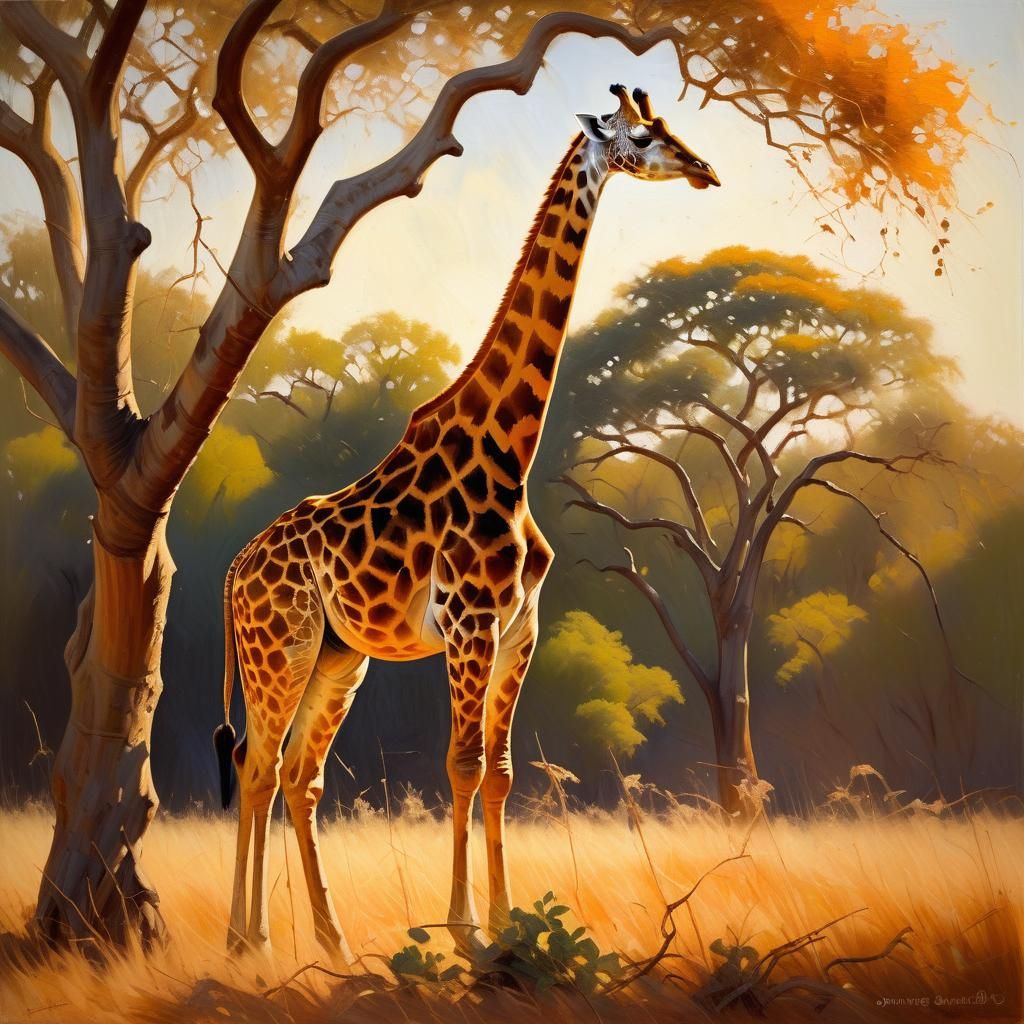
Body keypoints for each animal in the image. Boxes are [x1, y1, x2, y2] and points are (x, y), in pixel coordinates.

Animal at [213, 84, 719, 958]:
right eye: (644, 134)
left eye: (670, 127)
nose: (706, 170)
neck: (509, 450)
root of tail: (234, 572)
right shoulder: (469, 623)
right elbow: (461, 764)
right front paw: (467, 933)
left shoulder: (521, 628)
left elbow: (503, 771)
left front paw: (511, 923)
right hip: (279, 648)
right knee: (255, 764)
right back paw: (252, 942)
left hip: (338, 659)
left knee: (295, 774)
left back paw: (330, 942)